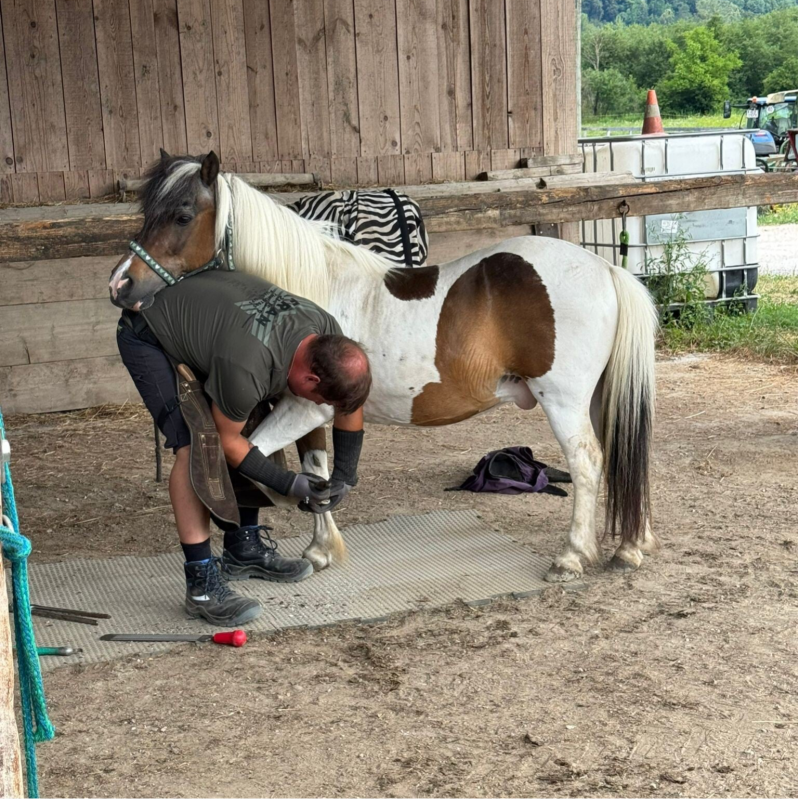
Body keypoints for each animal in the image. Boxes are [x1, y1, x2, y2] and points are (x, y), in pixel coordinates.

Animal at [109, 150, 659, 582]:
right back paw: (631, 546)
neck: (308, 287)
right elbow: (313, 467)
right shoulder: (311, 411)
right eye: (148, 211)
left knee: (587, 462)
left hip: (564, 402)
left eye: (182, 215)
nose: (120, 285)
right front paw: (319, 546)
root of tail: (605, 268)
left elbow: (255, 461)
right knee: (620, 453)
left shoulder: (305, 409)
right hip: (598, 397)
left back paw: (572, 556)